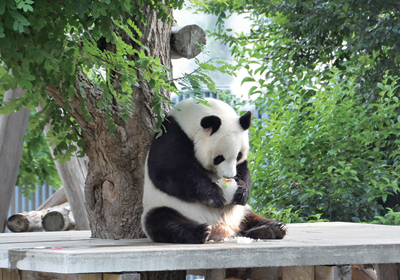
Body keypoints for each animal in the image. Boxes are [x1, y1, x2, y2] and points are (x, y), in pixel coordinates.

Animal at [142, 97, 286, 243]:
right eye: (219, 158)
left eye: (238, 155)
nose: (229, 176)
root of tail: (222, 230)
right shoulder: (170, 134)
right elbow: (169, 171)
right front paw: (214, 195)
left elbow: (244, 169)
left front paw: (241, 191)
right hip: (167, 206)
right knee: (162, 220)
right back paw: (201, 232)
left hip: (241, 212)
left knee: (252, 218)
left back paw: (272, 229)